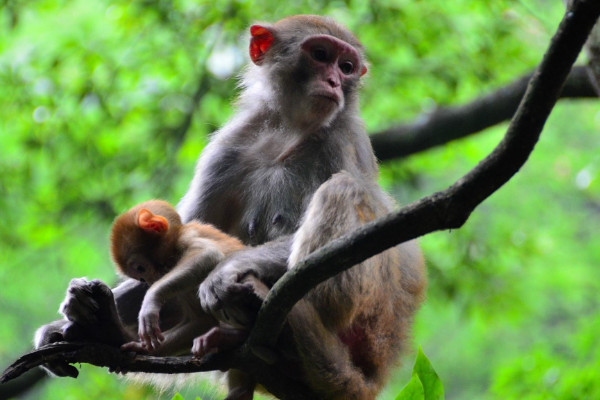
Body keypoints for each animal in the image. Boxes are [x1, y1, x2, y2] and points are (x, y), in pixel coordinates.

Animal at [34, 14, 426, 398]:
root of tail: (375, 372)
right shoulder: (227, 148)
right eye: (320, 55)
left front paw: (225, 272)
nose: (333, 81)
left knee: (345, 190)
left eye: (346, 67)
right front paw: (67, 318)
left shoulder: (345, 140)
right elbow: (184, 234)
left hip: (366, 321)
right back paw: (110, 329)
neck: (290, 129)